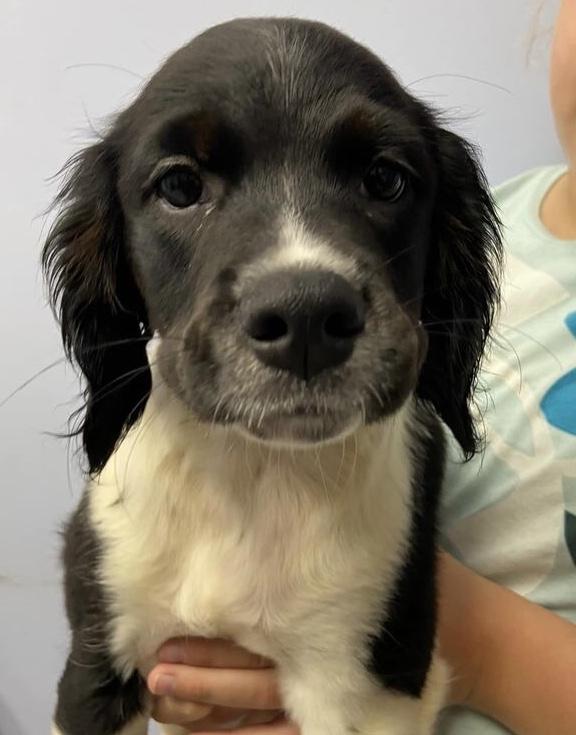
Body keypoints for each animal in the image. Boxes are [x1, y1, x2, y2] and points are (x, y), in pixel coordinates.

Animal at [44, 17, 501, 735]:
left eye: (385, 179)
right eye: (179, 188)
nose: (307, 315)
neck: (253, 473)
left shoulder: (365, 685)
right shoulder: (94, 654)